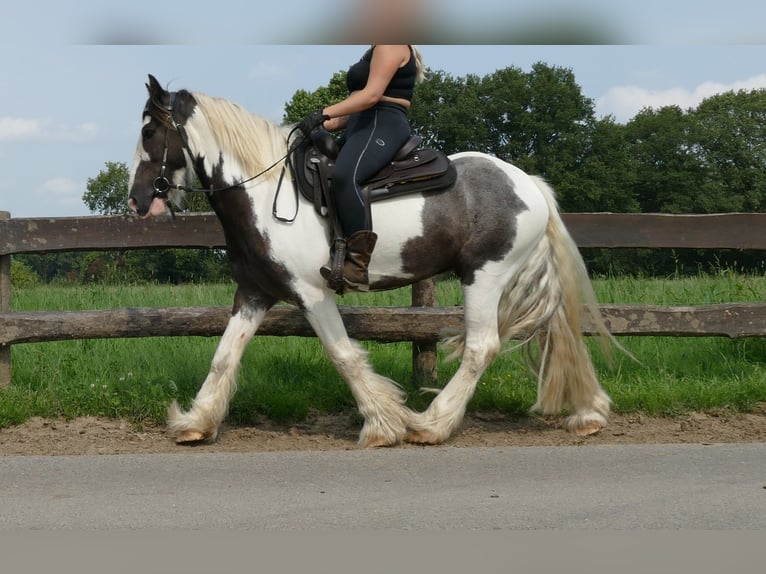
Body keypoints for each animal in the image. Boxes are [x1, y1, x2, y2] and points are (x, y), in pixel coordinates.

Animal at [129, 74, 616, 448]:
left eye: (149, 133)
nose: (136, 201)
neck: (264, 194)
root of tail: (528, 183)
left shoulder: (311, 293)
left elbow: (342, 354)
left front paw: (383, 424)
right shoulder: (254, 292)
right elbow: (224, 356)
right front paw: (197, 422)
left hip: (484, 276)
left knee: (482, 348)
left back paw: (431, 424)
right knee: (557, 333)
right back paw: (588, 413)